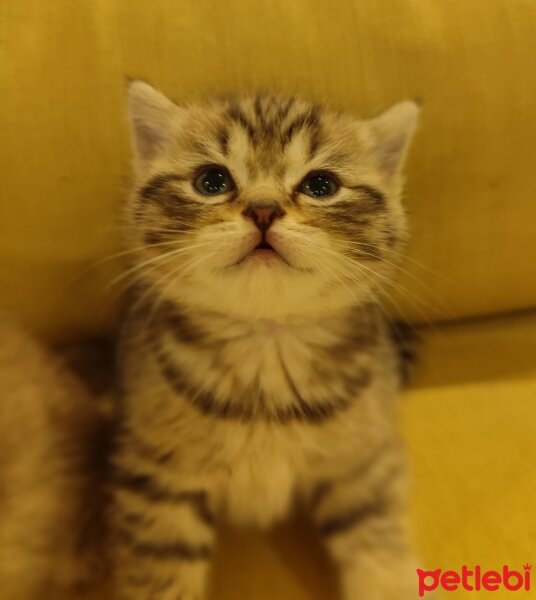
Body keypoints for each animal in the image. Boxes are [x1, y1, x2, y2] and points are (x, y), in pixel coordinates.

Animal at [111, 83, 420, 600]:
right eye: (212, 180)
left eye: (321, 185)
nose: (263, 209)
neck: (266, 347)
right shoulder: (159, 478)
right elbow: (162, 572)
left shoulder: (363, 464)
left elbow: (378, 545)